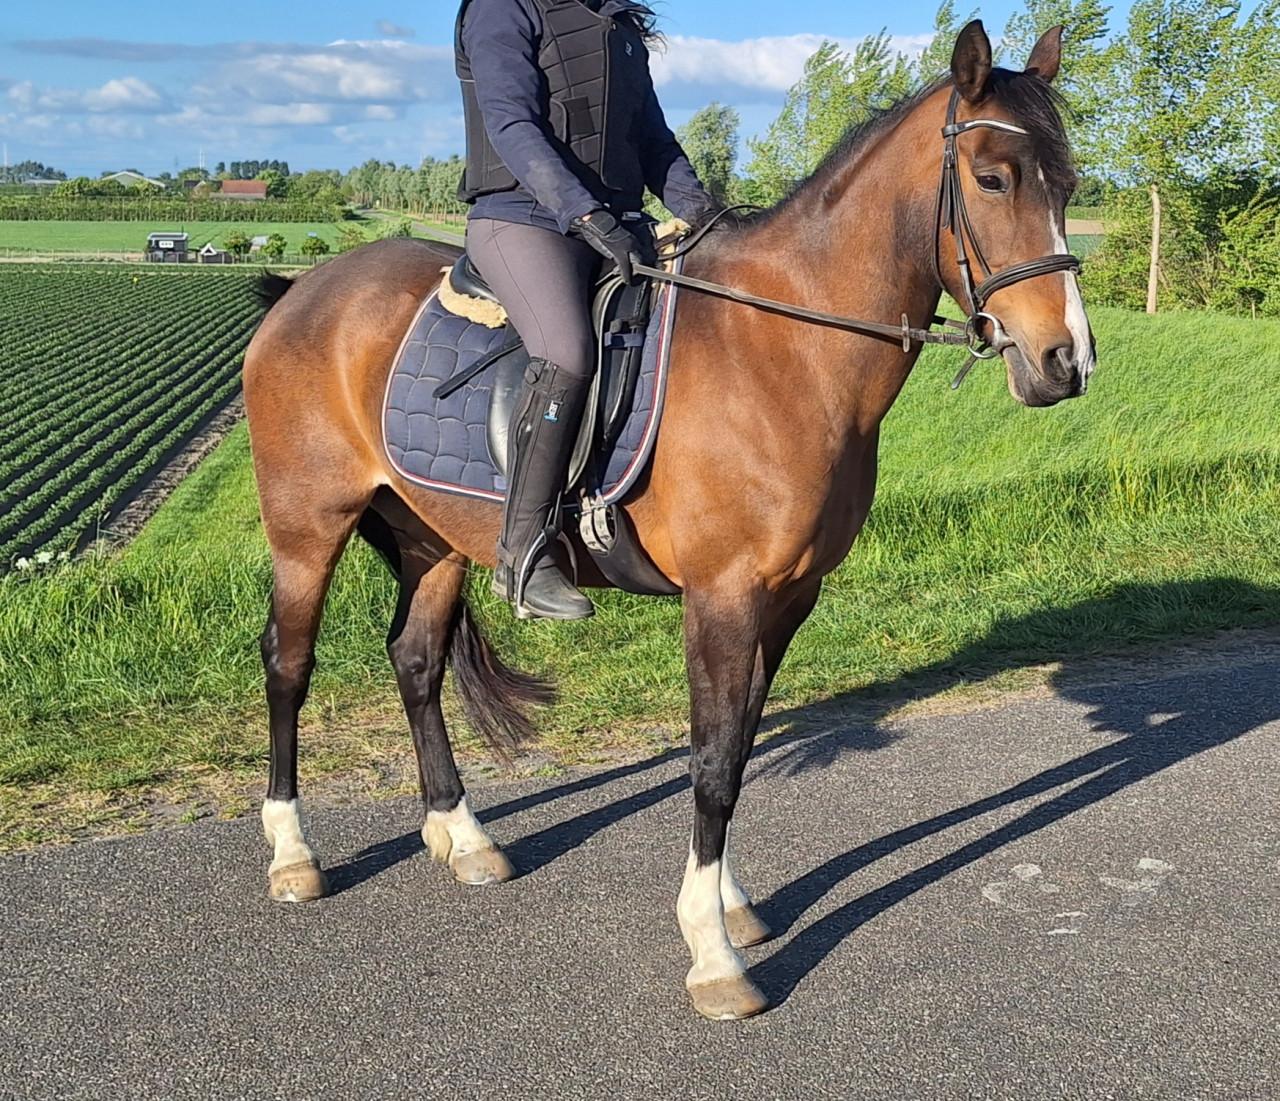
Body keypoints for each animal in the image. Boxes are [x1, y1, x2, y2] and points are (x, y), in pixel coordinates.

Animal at [242, 21, 1095, 1020]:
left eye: (1069, 184)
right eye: (994, 179)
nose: (1065, 361)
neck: (785, 352)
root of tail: (301, 291)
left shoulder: (788, 597)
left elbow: (739, 746)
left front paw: (731, 905)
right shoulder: (722, 596)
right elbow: (712, 763)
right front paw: (712, 954)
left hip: (433, 538)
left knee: (415, 661)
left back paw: (464, 835)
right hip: (308, 526)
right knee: (288, 665)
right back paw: (293, 853)